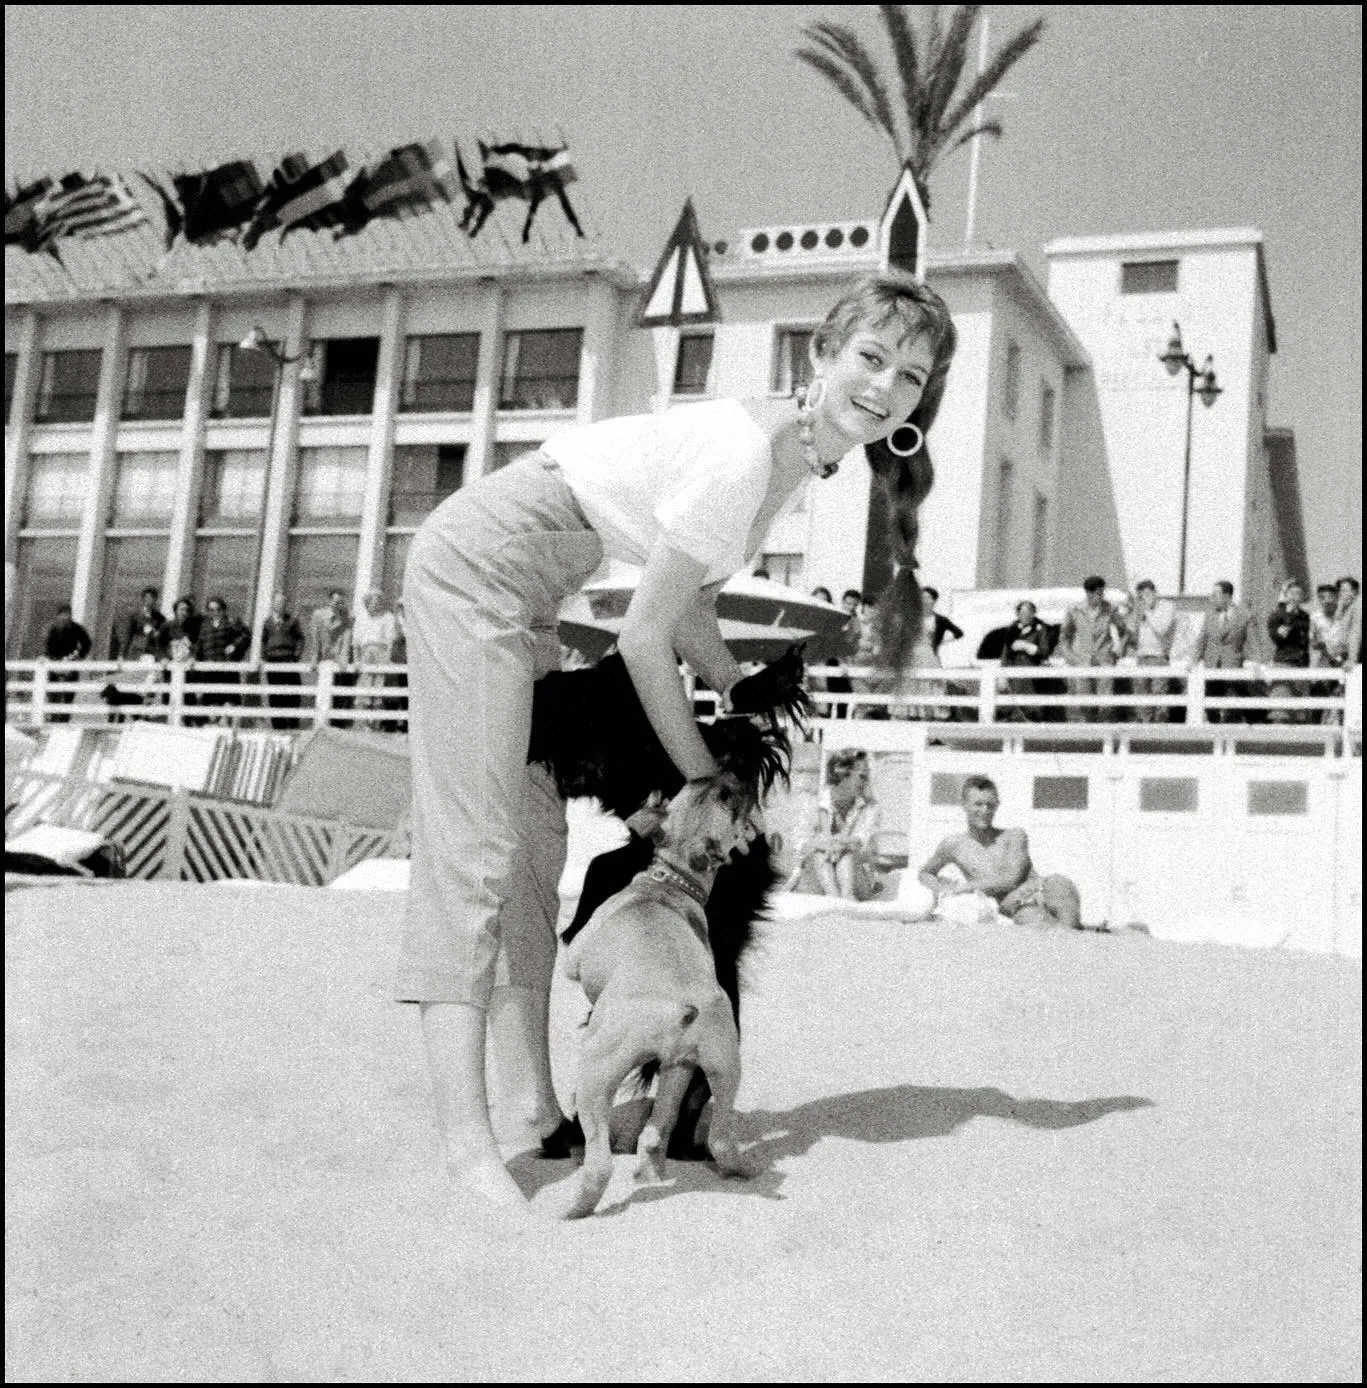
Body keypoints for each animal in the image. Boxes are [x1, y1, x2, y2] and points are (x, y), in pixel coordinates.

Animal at [560, 777, 760, 1221]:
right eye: (706, 787)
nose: (735, 775)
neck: (670, 882)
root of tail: (679, 1006)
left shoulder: (574, 961)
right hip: (713, 1065)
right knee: (703, 1136)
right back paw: (735, 1171)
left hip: (596, 1073)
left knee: (599, 1163)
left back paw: (573, 1211)